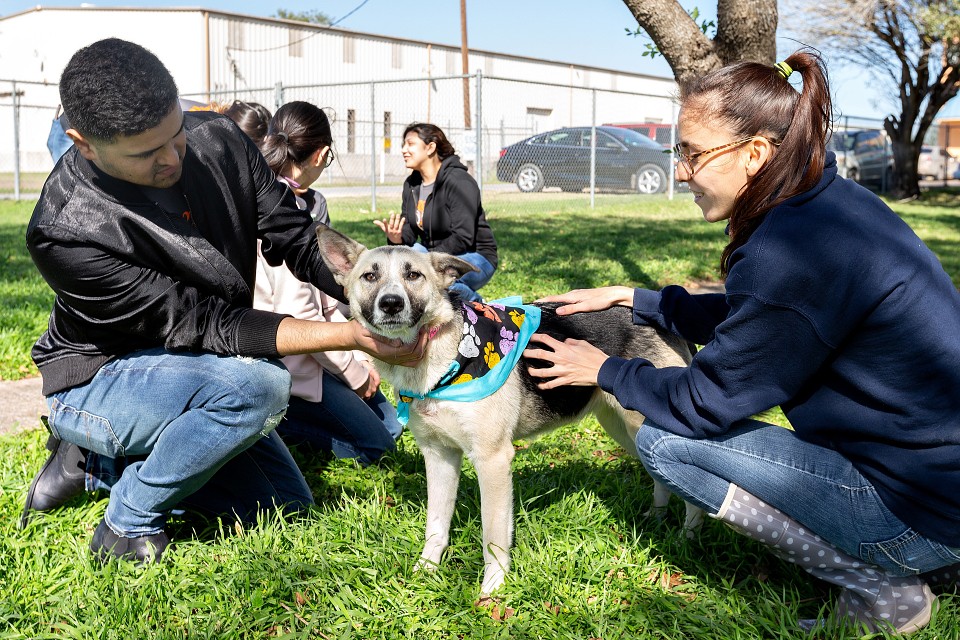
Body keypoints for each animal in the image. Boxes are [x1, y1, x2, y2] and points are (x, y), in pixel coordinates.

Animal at [318, 226, 700, 596]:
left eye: (414, 275)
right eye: (370, 276)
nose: (391, 304)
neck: (448, 355)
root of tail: (661, 323)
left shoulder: (493, 460)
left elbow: (493, 534)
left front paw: (493, 587)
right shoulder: (439, 456)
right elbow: (436, 524)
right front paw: (425, 571)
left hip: (638, 425)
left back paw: (687, 538)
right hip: (622, 427)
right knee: (659, 478)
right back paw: (656, 517)